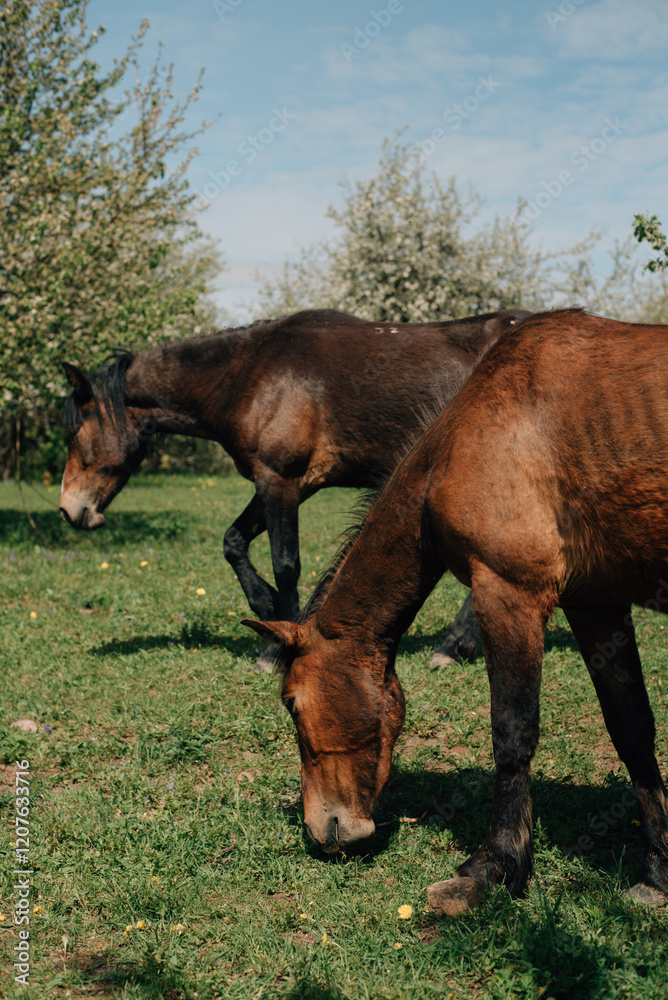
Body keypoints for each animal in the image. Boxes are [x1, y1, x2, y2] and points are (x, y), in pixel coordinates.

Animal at [59, 307, 530, 668]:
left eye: (74, 432)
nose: (70, 509)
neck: (246, 373)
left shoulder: (279, 481)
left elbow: (285, 564)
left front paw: (274, 648)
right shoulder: (285, 484)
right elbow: (233, 542)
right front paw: (266, 607)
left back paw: (452, 646)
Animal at [242, 308, 668, 913]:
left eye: (291, 702)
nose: (324, 831)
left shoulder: (507, 594)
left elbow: (512, 733)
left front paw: (492, 869)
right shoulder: (596, 604)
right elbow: (631, 727)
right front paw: (657, 872)